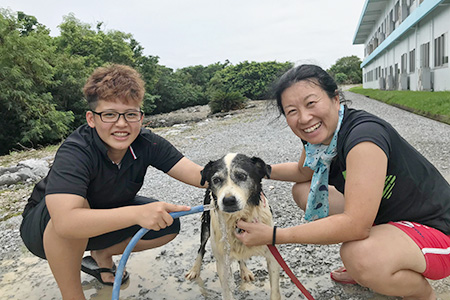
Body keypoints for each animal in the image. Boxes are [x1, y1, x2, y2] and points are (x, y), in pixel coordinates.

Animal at [185, 154, 280, 300]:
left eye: (242, 176)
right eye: (216, 180)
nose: (228, 200)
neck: (238, 219)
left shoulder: (272, 256)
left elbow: (275, 292)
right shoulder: (222, 263)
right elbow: (227, 292)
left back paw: (245, 271)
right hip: (205, 227)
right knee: (201, 248)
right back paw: (194, 269)